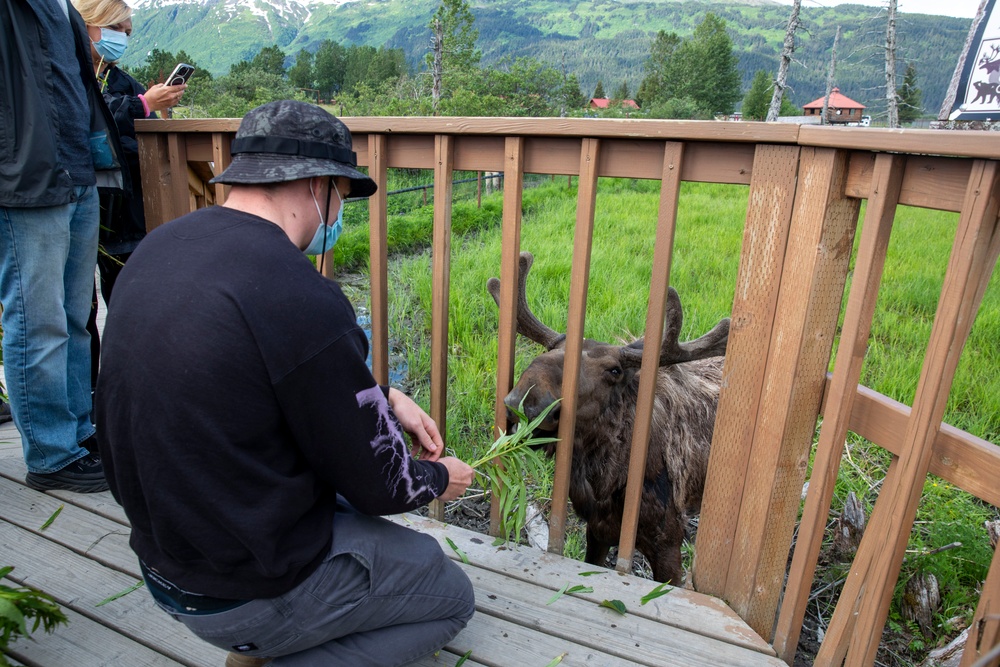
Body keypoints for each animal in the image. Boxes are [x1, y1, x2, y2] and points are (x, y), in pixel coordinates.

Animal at [488, 253, 732, 588]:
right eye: (551, 348)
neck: (608, 483)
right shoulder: (598, 530)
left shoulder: (668, 542)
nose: (525, 402)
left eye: (614, 370)